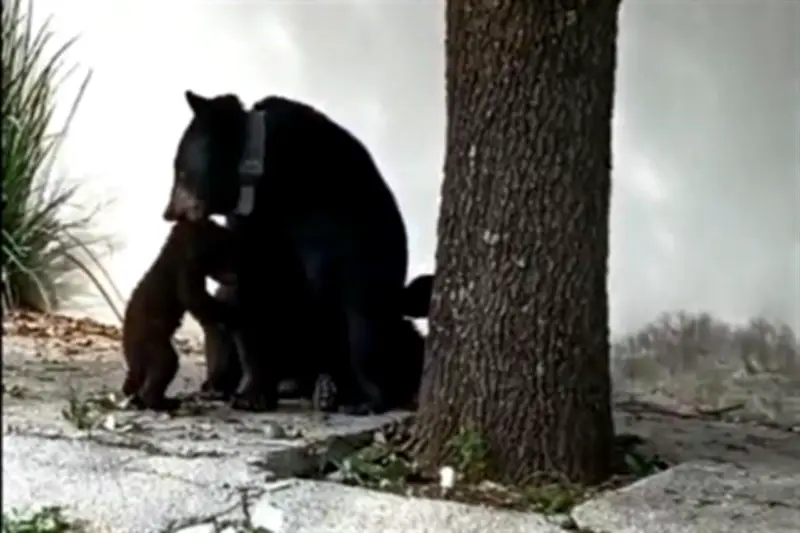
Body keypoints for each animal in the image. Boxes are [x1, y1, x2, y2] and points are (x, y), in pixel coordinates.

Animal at [122, 219, 240, 411]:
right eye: (223, 239)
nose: (231, 232)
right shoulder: (185, 269)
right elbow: (195, 298)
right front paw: (230, 309)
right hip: (151, 342)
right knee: (164, 363)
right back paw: (162, 402)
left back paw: (139, 399)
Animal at [163, 91, 412, 414]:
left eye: (181, 170)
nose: (168, 212)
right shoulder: (252, 226)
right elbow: (253, 297)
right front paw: (253, 394)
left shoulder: (343, 212)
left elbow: (361, 304)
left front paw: (368, 398)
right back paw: (226, 386)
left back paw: (329, 389)